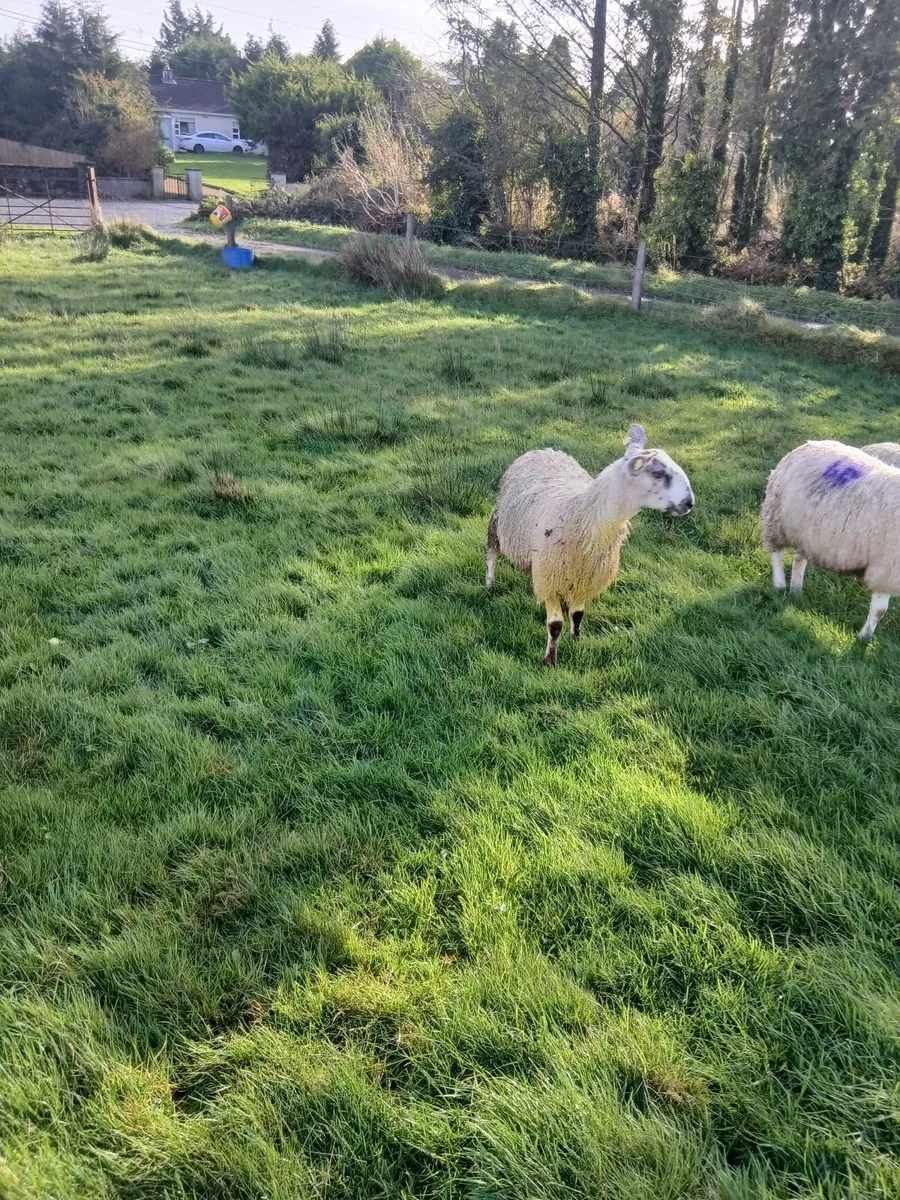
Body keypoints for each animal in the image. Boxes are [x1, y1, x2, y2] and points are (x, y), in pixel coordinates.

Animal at [486, 423, 695, 666]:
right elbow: (554, 626)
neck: (582, 516)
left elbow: (577, 615)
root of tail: (543, 450)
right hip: (498, 520)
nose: (689, 503)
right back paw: (489, 584)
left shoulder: (585, 578)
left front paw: (577, 640)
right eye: (659, 473)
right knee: (492, 552)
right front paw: (550, 660)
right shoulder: (551, 579)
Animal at [762, 439, 900, 640]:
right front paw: (863, 638)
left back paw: (796, 590)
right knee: (776, 553)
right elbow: (880, 611)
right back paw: (780, 585)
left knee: (799, 559)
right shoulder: (887, 570)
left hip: (807, 533)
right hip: (776, 518)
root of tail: (809, 443)